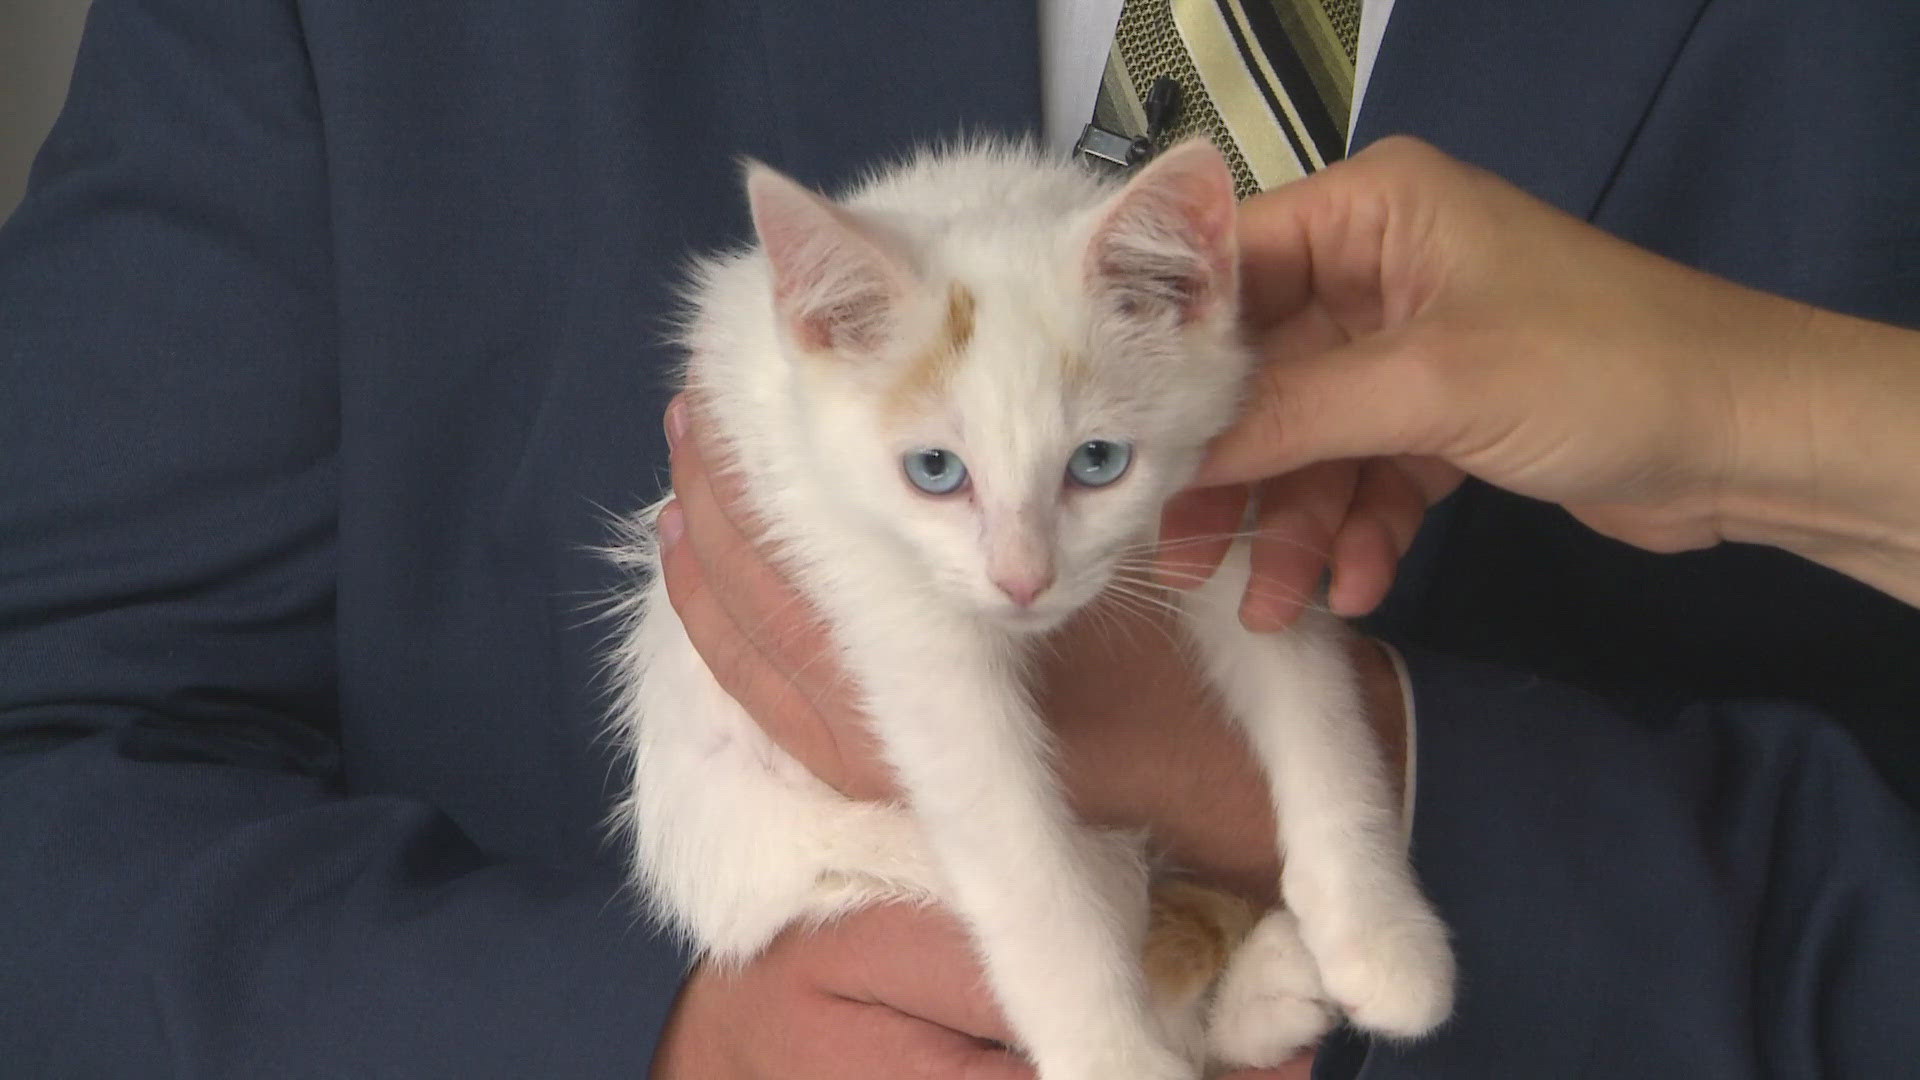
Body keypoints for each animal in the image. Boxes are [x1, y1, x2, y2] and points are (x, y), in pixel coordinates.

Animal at [606, 143, 1443, 1076]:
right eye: (934, 470)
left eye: (1099, 461)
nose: (1022, 582)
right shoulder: (875, 582)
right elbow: (1017, 857)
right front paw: (1110, 1054)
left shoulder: (1225, 509)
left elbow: (1315, 700)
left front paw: (1380, 931)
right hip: (794, 855)